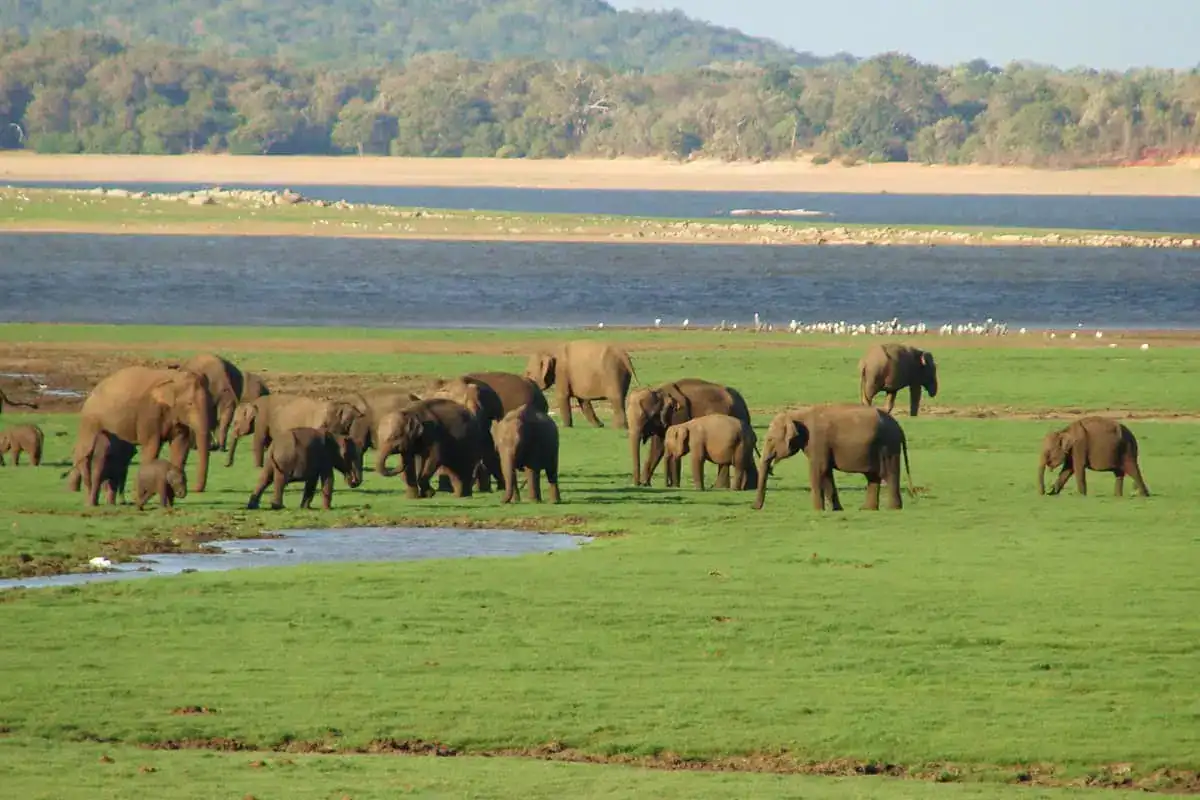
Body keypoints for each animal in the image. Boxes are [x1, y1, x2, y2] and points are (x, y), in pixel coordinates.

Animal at [67, 366, 213, 493]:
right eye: (190, 403)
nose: (195, 489)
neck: (174, 377)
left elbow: (180, 446)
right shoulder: (148, 414)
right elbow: (152, 447)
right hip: (91, 421)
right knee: (85, 450)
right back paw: (76, 489)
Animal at [753, 404, 913, 512]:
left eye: (770, 440)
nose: (754, 507)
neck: (796, 414)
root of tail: (899, 427)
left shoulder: (817, 441)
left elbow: (819, 470)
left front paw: (817, 510)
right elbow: (827, 472)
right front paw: (836, 510)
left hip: (888, 447)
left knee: (889, 475)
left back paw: (893, 509)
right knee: (873, 476)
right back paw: (867, 509)